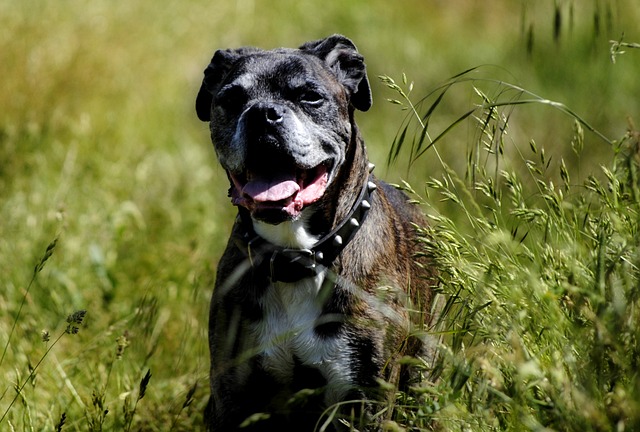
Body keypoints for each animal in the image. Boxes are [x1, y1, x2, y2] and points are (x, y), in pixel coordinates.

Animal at [195, 34, 436, 432]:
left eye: (310, 96)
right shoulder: (232, 397)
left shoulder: (366, 399)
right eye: (231, 99)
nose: (262, 113)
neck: (296, 258)